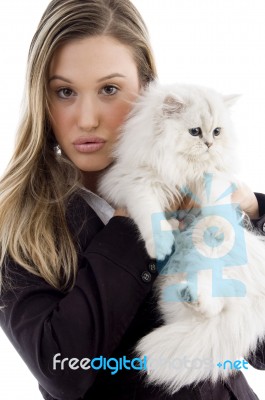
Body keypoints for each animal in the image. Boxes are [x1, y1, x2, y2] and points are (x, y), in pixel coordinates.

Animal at [98, 82, 264, 394]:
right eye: (195, 132)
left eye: (217, 132)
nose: (209, 144)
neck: (182, 167)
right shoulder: (137, 183)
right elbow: (151, 215)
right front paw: (163, 244)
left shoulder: (212, 176)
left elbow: (214, 195)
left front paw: (215, 227)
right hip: (172, 291)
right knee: (211, 306)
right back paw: (191, 294)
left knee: (218, 300)